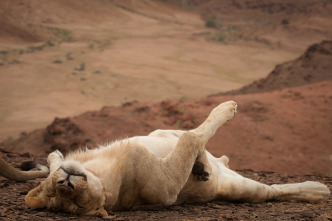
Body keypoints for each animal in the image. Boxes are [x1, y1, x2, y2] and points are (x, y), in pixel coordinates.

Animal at [24, 101, 330, 216]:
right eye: (76, 202)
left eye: (52, 190)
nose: (66, 183)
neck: (102, 168)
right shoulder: (166, 187)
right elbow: (191, 137)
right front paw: (226, 109)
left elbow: (190, 136)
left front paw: (54, 156)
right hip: (244, 189)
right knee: (272, 191)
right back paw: (317, 191)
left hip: (158, 132)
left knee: (185, 139)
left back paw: (204, 166)